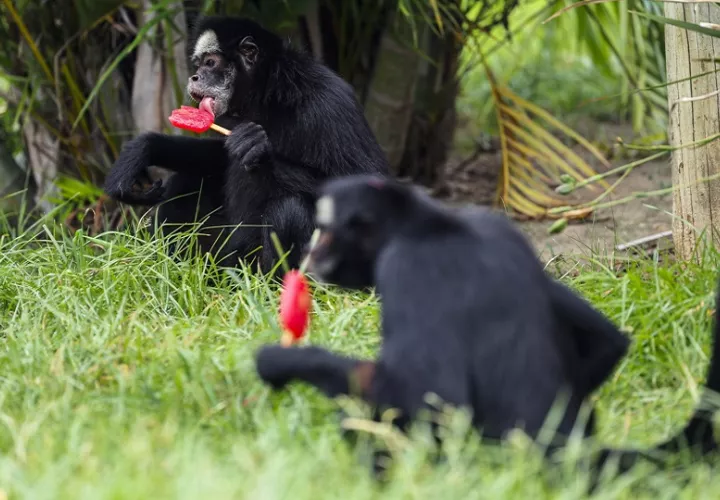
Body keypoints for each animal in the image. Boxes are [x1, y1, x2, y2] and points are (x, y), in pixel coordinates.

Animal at [103, 16, 389, 273]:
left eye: (210, 63)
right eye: (199, 65)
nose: (194, 77)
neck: (269, 93)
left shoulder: (328, 100)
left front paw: (259, 149)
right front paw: (144, 149)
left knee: (289, 209)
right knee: (186, 182)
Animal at [255, 174, 720, 479]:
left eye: (327, 232)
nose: (313, 253)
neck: (434, 225)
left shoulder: (408, 267)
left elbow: (436, 400)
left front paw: (282, 361)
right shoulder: (498, 228)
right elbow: (606, 342)